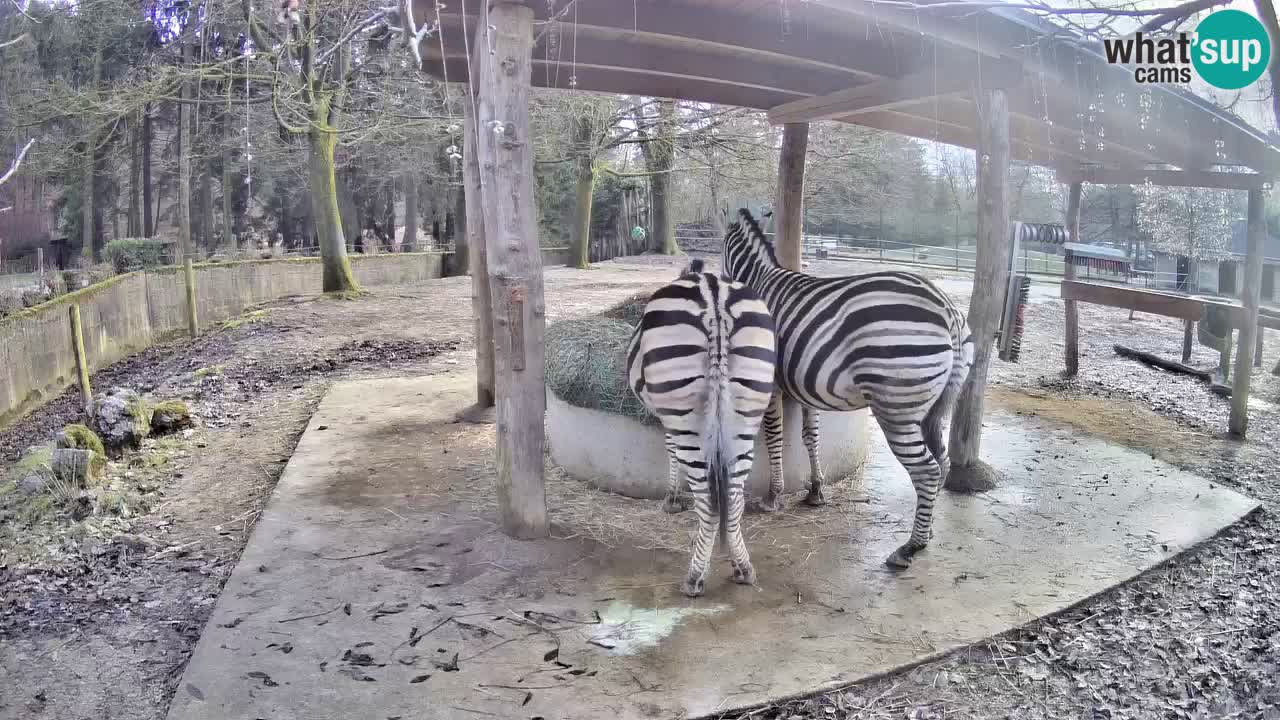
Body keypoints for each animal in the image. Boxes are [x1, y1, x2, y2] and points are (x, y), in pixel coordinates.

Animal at [624, 257, 773, 594]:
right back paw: (743, 568)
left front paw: (672, 498)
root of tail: (714, 295)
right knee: (733, 500)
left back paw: (694, 577)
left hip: (685, 413)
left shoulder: (666, 416)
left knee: (709, 502)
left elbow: (670, 450)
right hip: (746, 412)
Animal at [721, 206, 967, 566]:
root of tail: (946, 307)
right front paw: (815, 490)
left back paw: (910, 547)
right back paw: (929, 529)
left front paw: (773, 496)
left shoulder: (771, 381)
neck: (760, 279)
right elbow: (810, 436)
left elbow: (774, 436)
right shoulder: (805, 383)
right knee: (943, 461)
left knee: (927, 470)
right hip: (934, 405)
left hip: (896, 406)